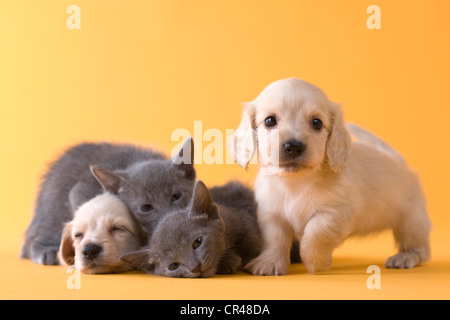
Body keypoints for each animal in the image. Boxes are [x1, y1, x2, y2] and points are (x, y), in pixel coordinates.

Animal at [21, 138, 195, 264]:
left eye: (176, 196)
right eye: (146, 208)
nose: (169, 217)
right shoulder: (80, 192)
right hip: (54, 208)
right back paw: (46, 252)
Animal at [122, 180, 264, 278]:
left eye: (197, 242)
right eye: (173, 265)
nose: (195, 267)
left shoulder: (242, 220)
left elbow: (251, 241)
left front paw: (247, 260)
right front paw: (229, 261)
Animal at [230, 78, 430, 276]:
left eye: (317, 123)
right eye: (270, 121)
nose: (293, 146)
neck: (295, 183)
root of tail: (400, 163)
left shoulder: (334, 214)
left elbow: (314, 234)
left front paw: (315, 263)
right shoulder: (271, 215)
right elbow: (275, 239)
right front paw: (270, 263)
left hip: (412, 220)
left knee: (421, 249)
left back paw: (405, 257)